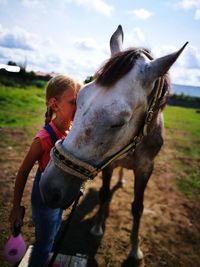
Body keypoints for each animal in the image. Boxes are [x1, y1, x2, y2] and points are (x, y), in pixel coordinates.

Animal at [39, 26, 188, 264]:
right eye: (77, 101)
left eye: (120, 122)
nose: (49, 189)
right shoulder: (109, 164)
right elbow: (104, 194)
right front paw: (98, 227)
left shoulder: (146, 168)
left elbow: (138, 208)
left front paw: (135, 250)